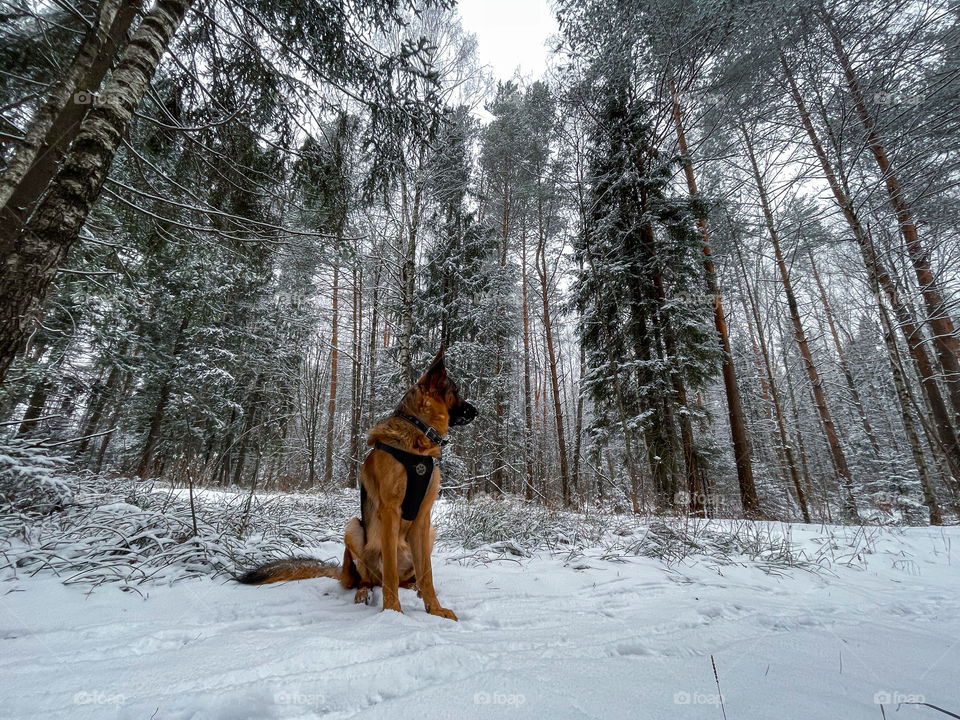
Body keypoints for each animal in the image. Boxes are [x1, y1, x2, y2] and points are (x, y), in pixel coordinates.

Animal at [236, 348, 476, 620]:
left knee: (404, 578)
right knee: (370, 580)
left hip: (427, 533)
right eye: (456, 391)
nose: (476, 411)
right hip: (353, 528)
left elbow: (427, 573)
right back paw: (363, 593)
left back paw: (412, 588)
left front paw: (434, 608)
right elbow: (390, 573)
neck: (417, 442)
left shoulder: (424, 517)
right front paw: (393, 612)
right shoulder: (390, 511)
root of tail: (344, 573)